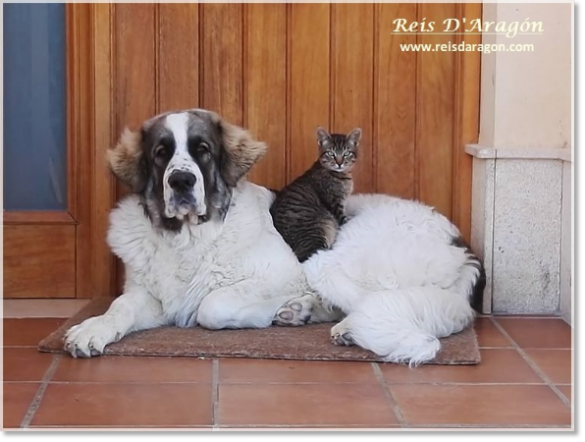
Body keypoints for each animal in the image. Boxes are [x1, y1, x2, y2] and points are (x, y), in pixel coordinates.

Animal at [270, 126, 360, 262]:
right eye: (330, 153)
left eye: (347, 153)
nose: (339, 163)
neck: (342, 176)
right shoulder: (334, 204)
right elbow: (345, 219)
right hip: (320, 228)